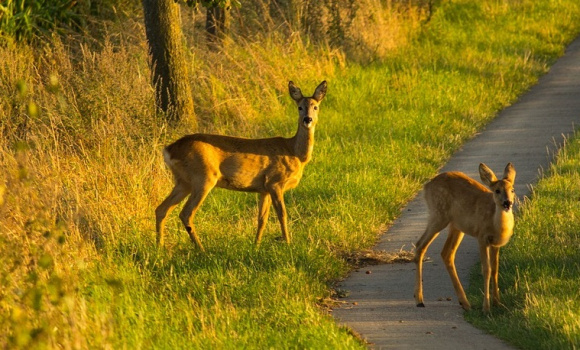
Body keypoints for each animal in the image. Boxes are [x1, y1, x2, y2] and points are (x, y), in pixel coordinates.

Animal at [154, 80, 326, 249]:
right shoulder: (275, 181)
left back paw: (159, 247)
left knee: (161, 209)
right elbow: (282, 214)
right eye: (299, 107)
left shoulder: (264, 189)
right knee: (186, 213)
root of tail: (169, 150)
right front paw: (288, 244)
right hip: (203, 176)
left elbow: (262, 218)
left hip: (183, 181)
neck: (295, 153)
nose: (307, 119)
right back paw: (201, 250)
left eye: (315, 107)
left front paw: (256, 245)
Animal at [412, 163, 516, 314]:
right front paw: (486, 308)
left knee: (446, 253)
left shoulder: (495, 244)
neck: (495, 223)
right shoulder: (482, 237)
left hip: (456, 226)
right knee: (420, 245)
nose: (507, 203)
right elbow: (486, 270)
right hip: (439, 214)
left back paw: (465, 303)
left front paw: (498, 303)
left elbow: (495, 269)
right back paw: (419, 300)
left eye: (512, 190)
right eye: (497, 191)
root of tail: (426, 186)